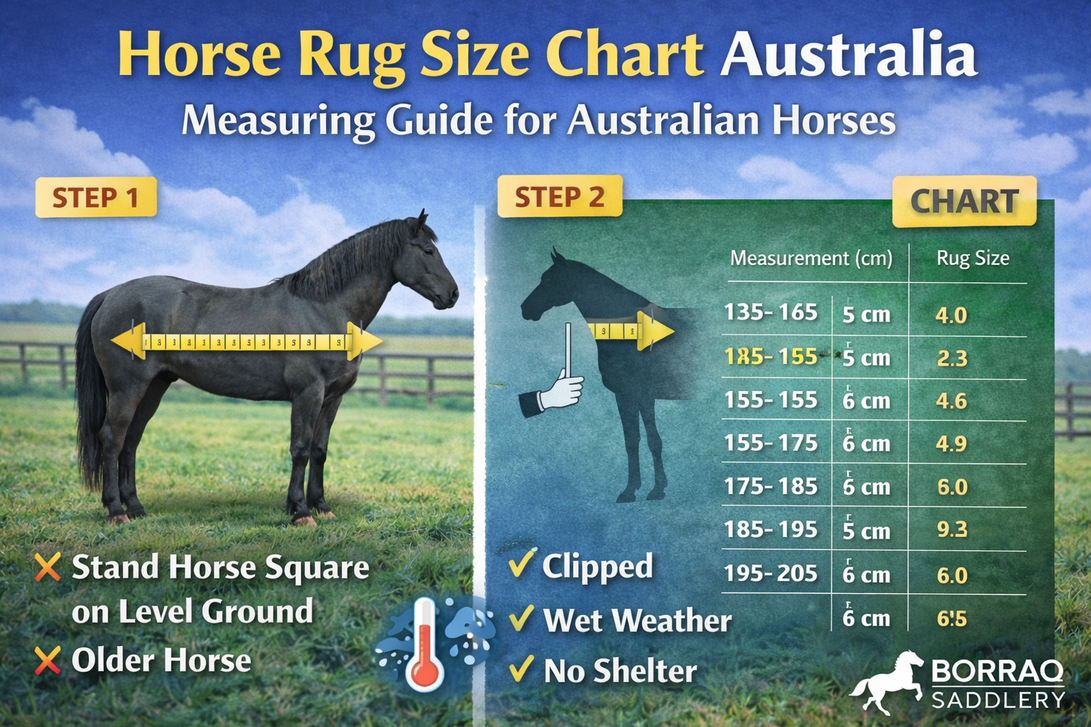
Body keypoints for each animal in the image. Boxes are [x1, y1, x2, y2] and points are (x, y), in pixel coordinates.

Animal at [75, 211, 458, 526]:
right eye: (427, 251)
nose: (452, 294)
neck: (324, 309)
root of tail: (110, 295)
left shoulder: (332, 398)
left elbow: (319, 450)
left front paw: (321, 506)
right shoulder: (307, 394)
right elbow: (300, 449)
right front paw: (300, 511)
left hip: (154, 386)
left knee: (130, 440)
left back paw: (137, 508)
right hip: (128, 388)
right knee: (112, 438)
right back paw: (116, 511)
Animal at [520, 249, 694, 503]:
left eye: (549, 279)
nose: (525, 308)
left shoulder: (637, 394)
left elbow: (649, 440)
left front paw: (651, 489)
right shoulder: (631, 396)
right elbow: (633, 440)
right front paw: (636, 489)